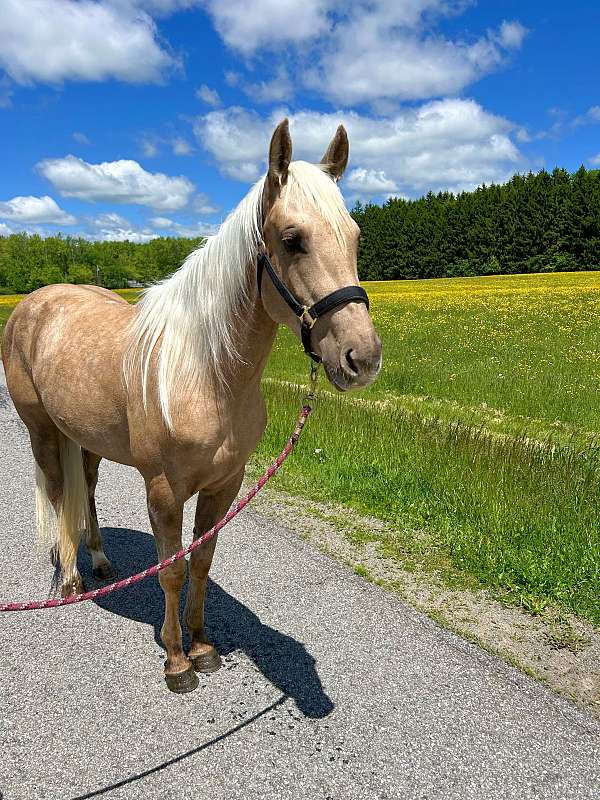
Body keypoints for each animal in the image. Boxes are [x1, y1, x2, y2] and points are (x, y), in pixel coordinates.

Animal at [1, 119, 382, 693]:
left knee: (84, 489)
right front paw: (176, 661)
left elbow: (201, 560)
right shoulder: (163, 491)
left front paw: (202, 646)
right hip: (42, 430)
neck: (206, 374)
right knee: (56, 492)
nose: (362, 358)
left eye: (356, 237)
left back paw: (100, 561)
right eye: (292, 240)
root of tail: (34, 302)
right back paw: (68, 579)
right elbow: (172, 570)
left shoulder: (225, 484)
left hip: (85, 437)